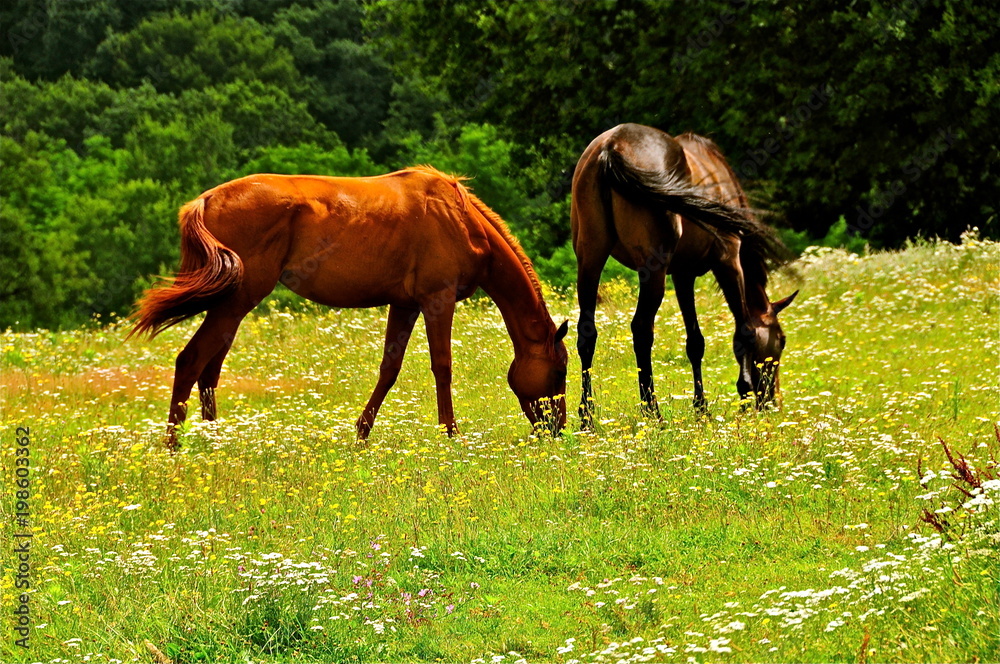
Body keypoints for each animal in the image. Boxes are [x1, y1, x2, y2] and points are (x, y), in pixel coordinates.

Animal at [131, 165, 572, 446]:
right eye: (560, 371)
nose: (557, 428)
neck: (460, 218)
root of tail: (205, 200)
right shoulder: (437, 300)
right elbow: (442, 367)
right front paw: (451, 433)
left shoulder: (404, 305)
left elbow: (389, 369)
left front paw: (361, 434)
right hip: (235, 303)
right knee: (190, 361)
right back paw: (175, 447)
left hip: (230, 307)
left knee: (209, 371)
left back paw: (215, 440)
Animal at [572, 124, 796, 426]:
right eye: (781, 340)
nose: (773, 402)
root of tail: (611, 147)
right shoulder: (728, 260)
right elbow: (744, 331)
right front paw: (744, 393)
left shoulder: (682, 275)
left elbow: (695, 342)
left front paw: (701, 407)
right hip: (652, 271)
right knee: (641, 330)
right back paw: (652, 412)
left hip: (590, 259)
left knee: (587, 334)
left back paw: (587, 417)